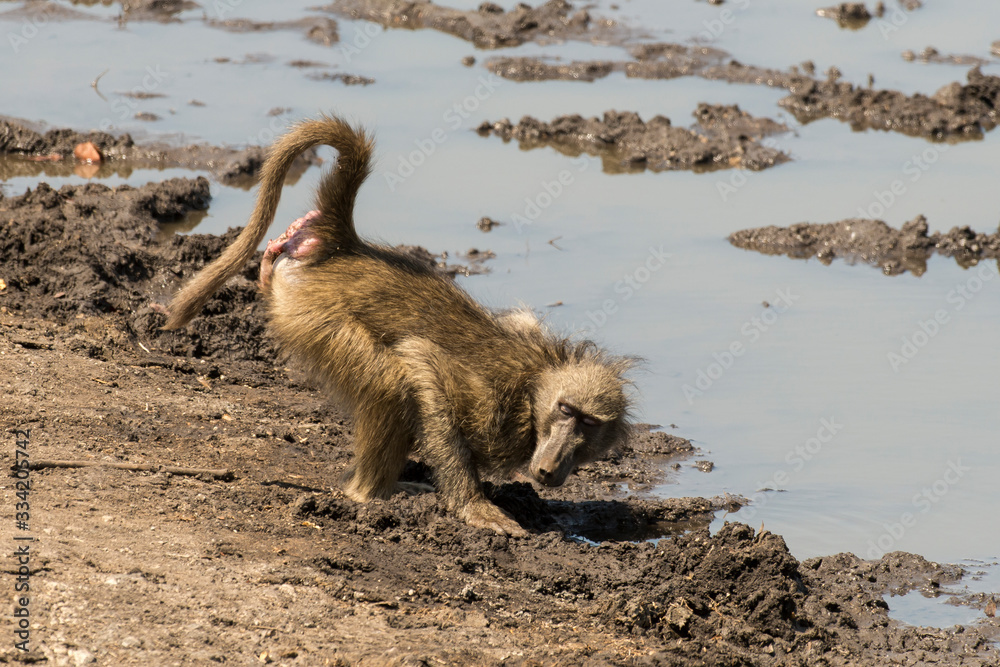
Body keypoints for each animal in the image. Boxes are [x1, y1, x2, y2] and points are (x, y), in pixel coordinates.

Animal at [165, 115, 633, 536]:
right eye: (566, 410)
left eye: (589, 424)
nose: (552, 467)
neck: (536, 383)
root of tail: (343, 246)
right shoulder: (489, 400)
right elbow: (422, 362)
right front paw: (473, 506)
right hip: (313, 313)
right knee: (391, 384)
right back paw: (369, 495)